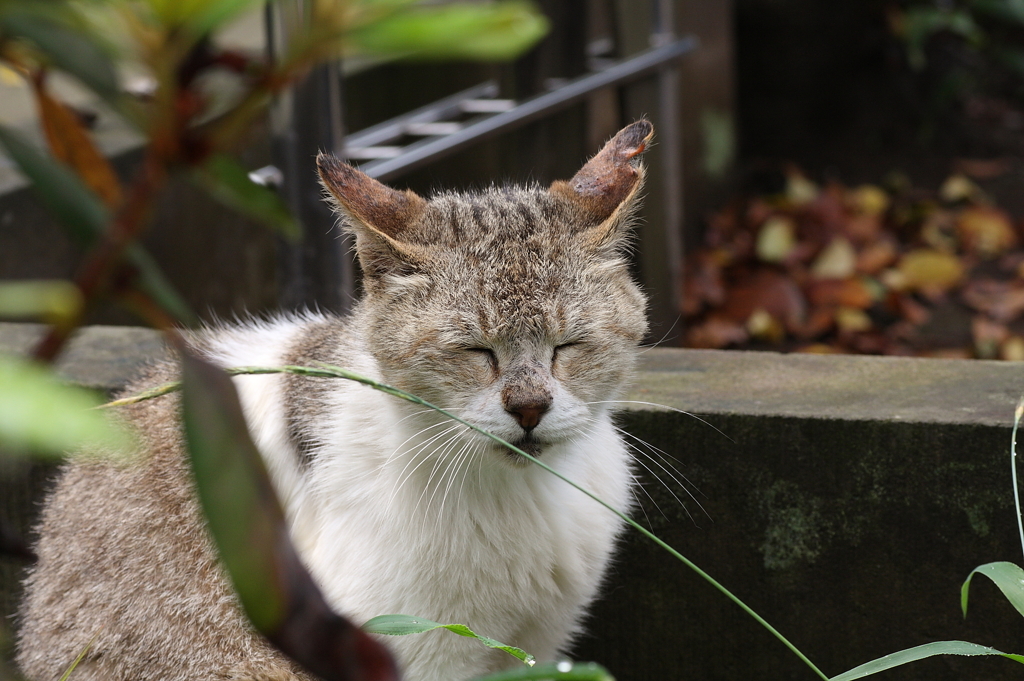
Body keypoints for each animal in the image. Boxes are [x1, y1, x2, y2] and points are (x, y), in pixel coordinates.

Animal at [16, 120, 651, 679]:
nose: (529, 408)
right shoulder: (403, 645)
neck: (524, 494)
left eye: (567, 346)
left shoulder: (534, 648)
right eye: (475, 351)